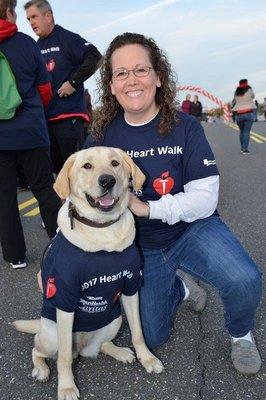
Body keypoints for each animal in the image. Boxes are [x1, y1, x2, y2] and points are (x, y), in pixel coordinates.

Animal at [13, 148, 163, 400]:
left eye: (115, 163)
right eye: (87, 166)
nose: (107, 180)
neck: (104, 231)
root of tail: (81, 347)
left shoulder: (131, 288)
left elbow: (139, 332)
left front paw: (148, 358)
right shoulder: (65, 300)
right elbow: (63, 358)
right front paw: (66, 387)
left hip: (115, 320)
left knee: (100, 346)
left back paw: (120, 352)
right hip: (51, 334)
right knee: (40, 350)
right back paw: (41, 369)